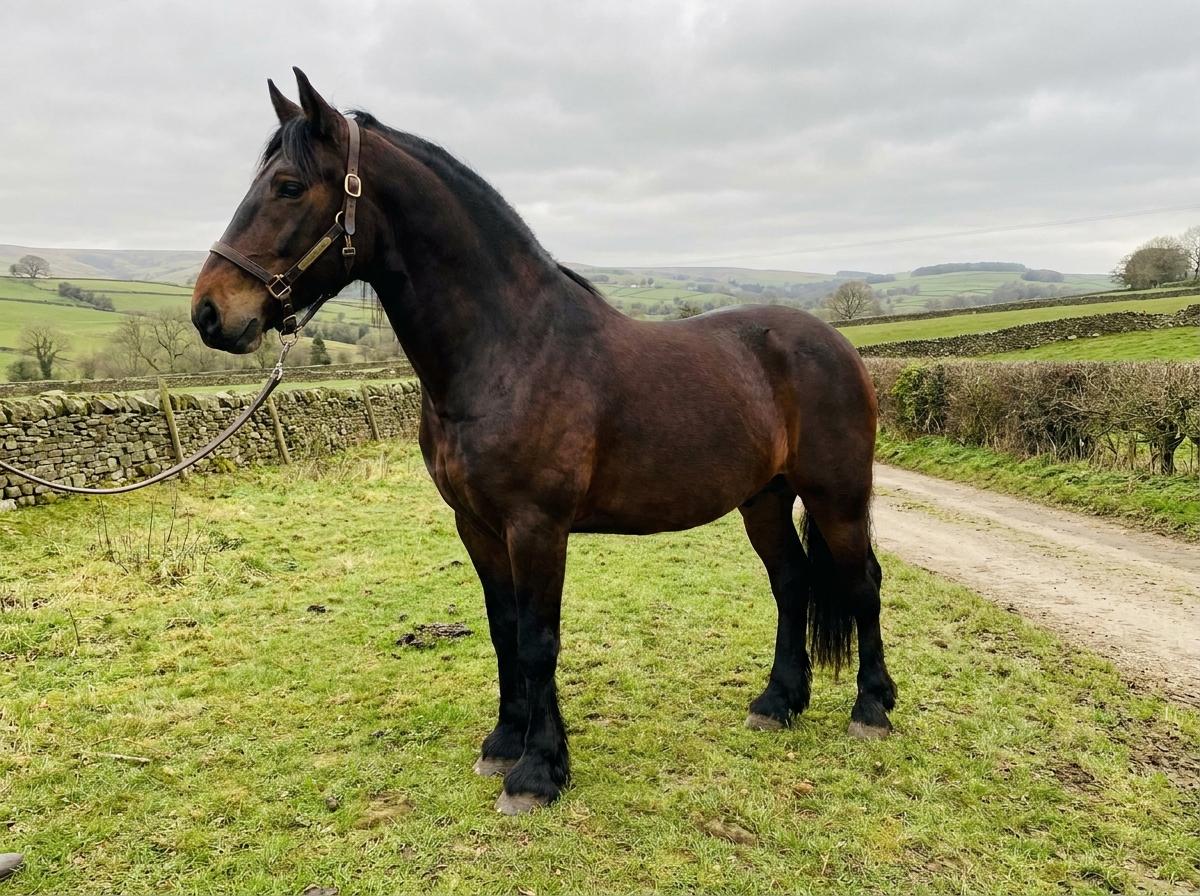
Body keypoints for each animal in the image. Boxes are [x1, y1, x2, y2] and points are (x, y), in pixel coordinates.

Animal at [191, 68, 896, 815]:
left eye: (290, 186)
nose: (209, 311)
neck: (507, 349)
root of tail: (834, 344)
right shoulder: (476, 524)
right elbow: (503, 630)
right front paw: (504, 743)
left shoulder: (536, 526)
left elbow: (537, 640)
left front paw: (537, 771)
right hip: (763, 498)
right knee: (791, 582)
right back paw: (777, 702)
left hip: (837, 495)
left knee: (862, 580)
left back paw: (872, 710)